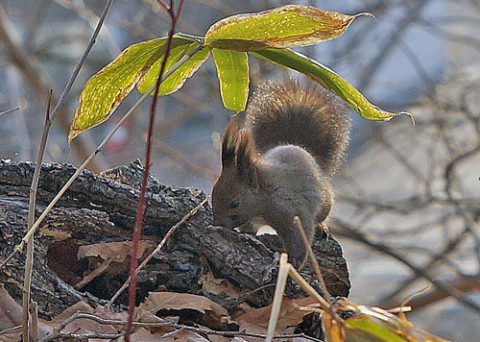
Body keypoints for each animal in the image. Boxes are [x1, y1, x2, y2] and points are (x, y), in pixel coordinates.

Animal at [212, 78, 350, 268]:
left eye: (235, 203)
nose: (217, 222)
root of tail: (295, 144)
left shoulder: (291, 209)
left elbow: (300, 235)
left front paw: (292, 262)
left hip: (325, 202)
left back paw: (322, 227)